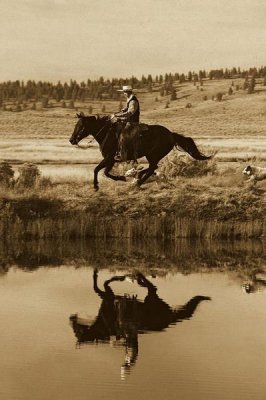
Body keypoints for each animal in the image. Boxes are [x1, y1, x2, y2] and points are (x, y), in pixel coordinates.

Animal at [69, 114, 211, 191]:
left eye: (81, 126)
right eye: (76, 125)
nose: (71, 140)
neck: (107, 134)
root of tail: (171, 134)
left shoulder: (109, 158)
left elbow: (99, 170)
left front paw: (97, 186)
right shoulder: (111, 160)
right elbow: (104, 172)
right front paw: (121, 177)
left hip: (153, 155)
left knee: (152, 168)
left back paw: (137, 181)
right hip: (152, 156)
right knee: (152, 168)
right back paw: (137, 176)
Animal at [69, 268, 211, 378]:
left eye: (76, 330)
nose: (71, 317)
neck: (104, 325)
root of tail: (169, 319)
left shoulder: (108, 295)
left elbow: (100, 285)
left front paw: (116, 276)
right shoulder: (107, 295)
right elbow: (100, 285)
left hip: (151, 298)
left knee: (152, 287)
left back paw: (138, 277)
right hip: (152, 299)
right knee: (152, 287)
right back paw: (139, 278)